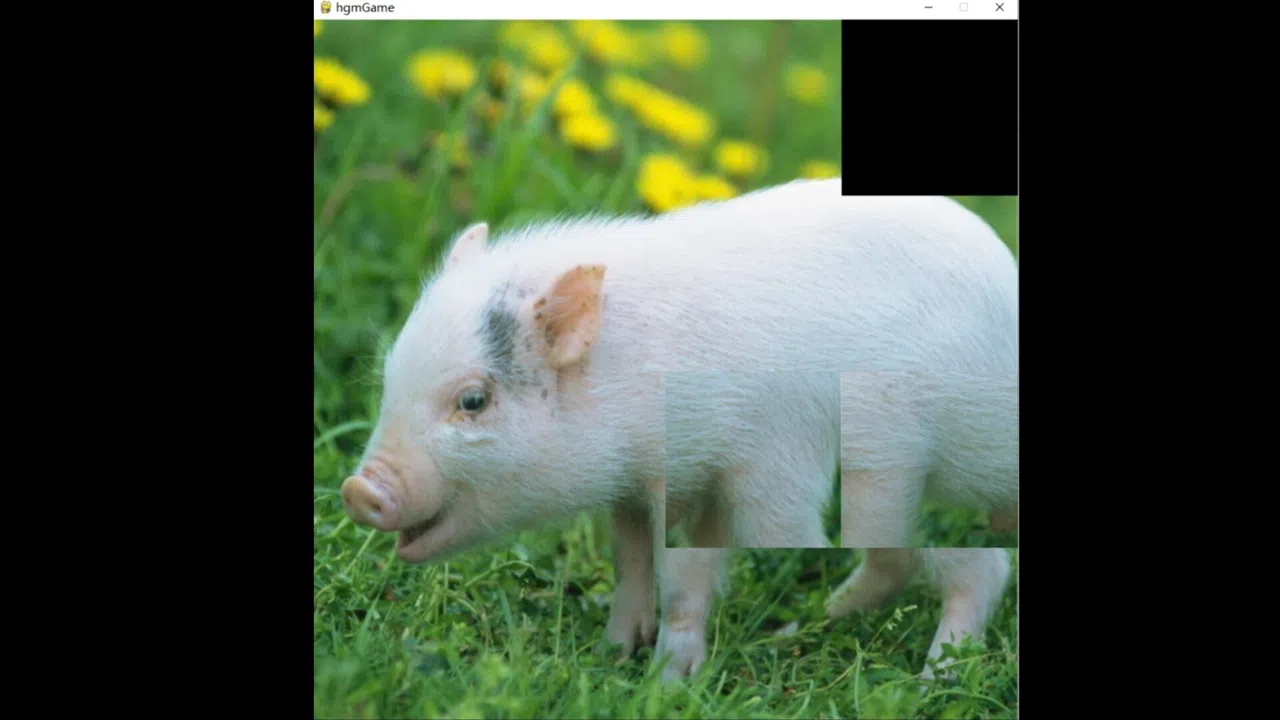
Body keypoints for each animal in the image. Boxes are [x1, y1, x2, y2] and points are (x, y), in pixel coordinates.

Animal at [338, 178, 1018, 678]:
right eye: (391, 376)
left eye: (473, 400)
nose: (358, 490)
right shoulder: (647, 485)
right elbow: (634, 559)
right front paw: (613, 654)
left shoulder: (762, 464)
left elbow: (691, 574)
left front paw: (665, 683)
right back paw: (825, 618)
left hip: (895, 459)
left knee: (960, 563)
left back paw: (927, 675)